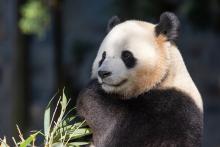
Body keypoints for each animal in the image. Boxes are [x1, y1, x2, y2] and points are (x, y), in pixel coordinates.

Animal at [76, 12, 204, 146]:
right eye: (103, 56)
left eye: (126, 55)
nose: (103, 73)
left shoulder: (171, 109)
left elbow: (114, 125)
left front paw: (91, 91)